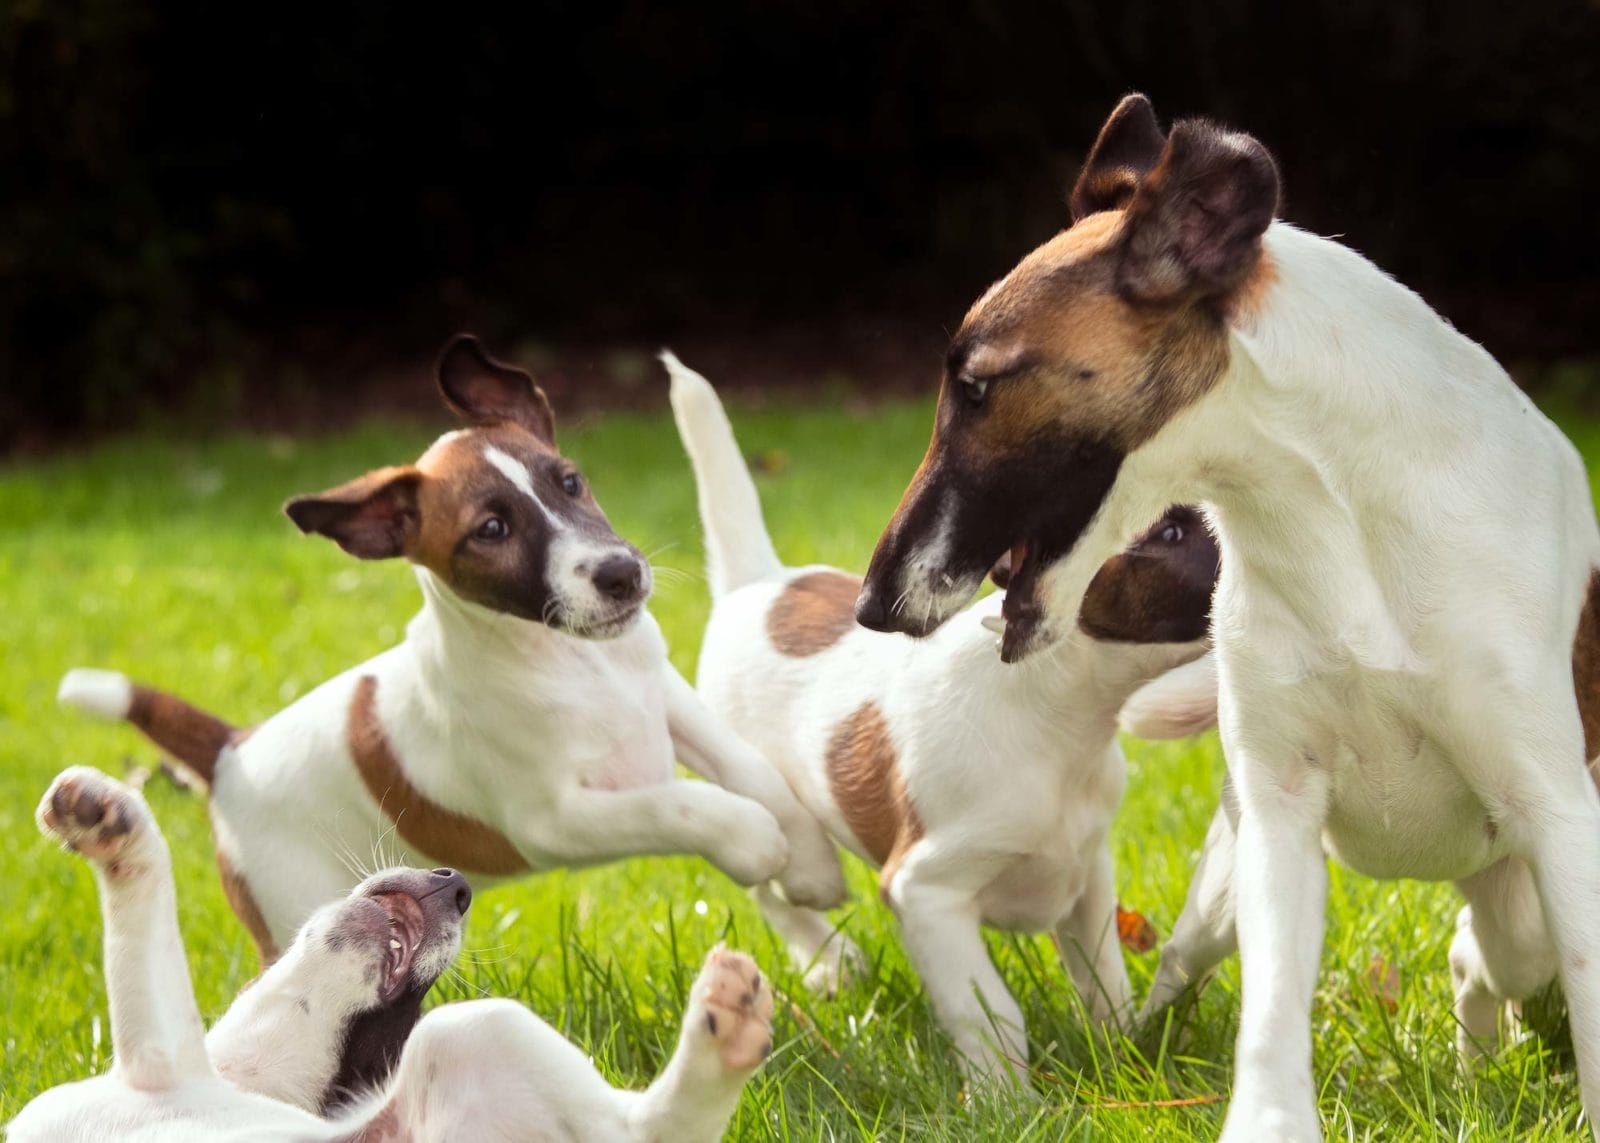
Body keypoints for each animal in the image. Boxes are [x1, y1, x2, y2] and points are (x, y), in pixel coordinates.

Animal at [7, 765, 780, 1139]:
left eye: (397, 1017)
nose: (459, 885)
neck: (248, 1079)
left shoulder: (161, 1062)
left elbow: (144, 902)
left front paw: (118, 826)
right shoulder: (161, 1069)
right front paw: (104, 819)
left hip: (468, 1028)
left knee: (654, 1131)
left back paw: (722, 1033)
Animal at [56, 331, 844, 960]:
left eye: (571, 482)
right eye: (491, 530)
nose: (620, 575)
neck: (571, 663)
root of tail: (230, 750)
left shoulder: (670, 702)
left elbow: (752, 773)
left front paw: (810, 863)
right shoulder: (554, 820)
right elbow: (685, 807)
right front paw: (759, 843)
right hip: (295, 909)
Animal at [656, 352, 1216, 1082]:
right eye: (1170, 533)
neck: (1056, 717)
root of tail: (758, 583)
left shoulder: (1087, 875)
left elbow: (1105, 981)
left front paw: (1122, 1059)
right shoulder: (925, 892)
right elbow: (990, 1013)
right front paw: (1005, 1095)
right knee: (773, 887)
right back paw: (827, 962)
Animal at [851, 93, 1600, 1133]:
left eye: (975, 386)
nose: (869, 602)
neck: (1340, 526)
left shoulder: (1560, 816)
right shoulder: (1278, 815)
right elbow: (1272, 1009)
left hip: (1520, 889)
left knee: (1492, 954)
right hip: (1231, 880)